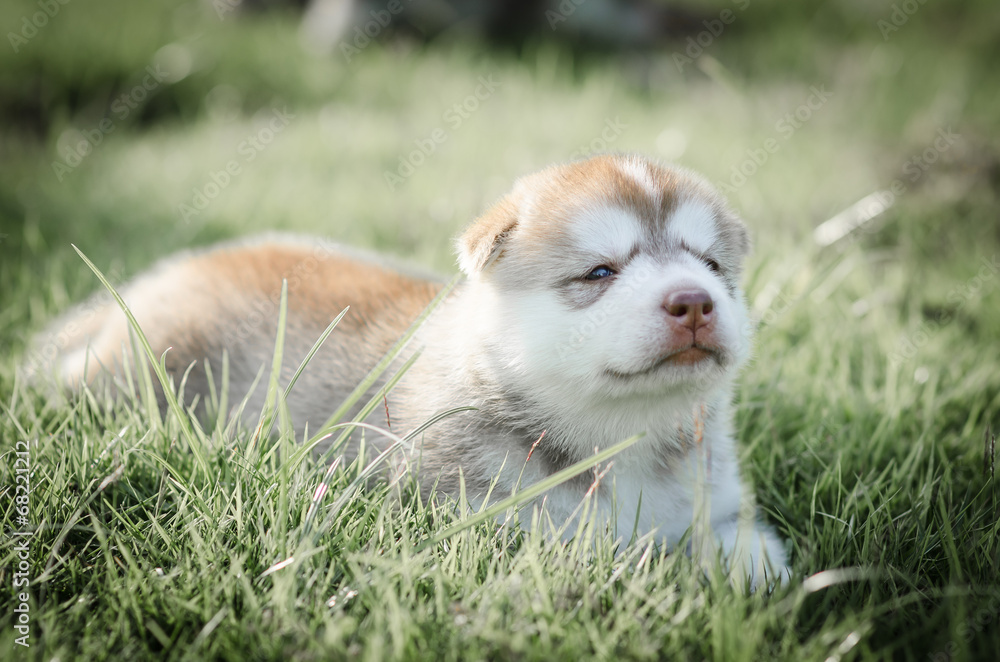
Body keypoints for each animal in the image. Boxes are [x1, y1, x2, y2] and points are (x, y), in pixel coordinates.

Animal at [25, 154, 788, 588]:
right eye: (600, 272)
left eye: (712, 265)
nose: (693, 301)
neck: (621, 432)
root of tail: (165, 272)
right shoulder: (484, 520)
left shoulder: (716, 497)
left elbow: (747, 549)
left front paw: (748, 574)